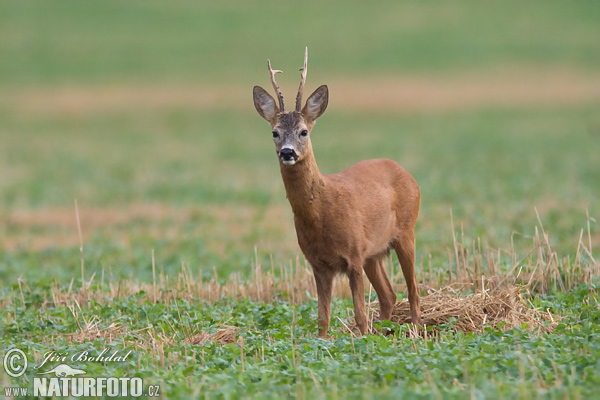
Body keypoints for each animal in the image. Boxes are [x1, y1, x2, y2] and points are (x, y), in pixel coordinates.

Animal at [253, 47, 422, 338]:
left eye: (303, 131)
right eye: (275, 132)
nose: (287, 152)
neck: (321, 211)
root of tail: (406, 173)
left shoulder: (353, 255)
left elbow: (359, 314)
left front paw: (363, 339)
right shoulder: (318, 264)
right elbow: (323, 318)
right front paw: (326, 342)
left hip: (406, 231)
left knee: (413, 290)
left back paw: (414, 332)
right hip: (373, 253)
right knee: (388, 295)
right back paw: (385, 331)